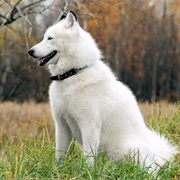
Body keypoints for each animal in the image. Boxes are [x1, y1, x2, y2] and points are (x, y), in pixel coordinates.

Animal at [28, 10, 178, 172]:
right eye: (44, 37)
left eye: (50, 38)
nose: (30, 51)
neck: (73, 74)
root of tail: (160, 160)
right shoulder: (62, 124)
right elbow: (60, 154)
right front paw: (58, 171)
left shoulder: (89, 125)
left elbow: (88, 156)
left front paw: (86, 172)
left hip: (127, 148)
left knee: (150, 171)